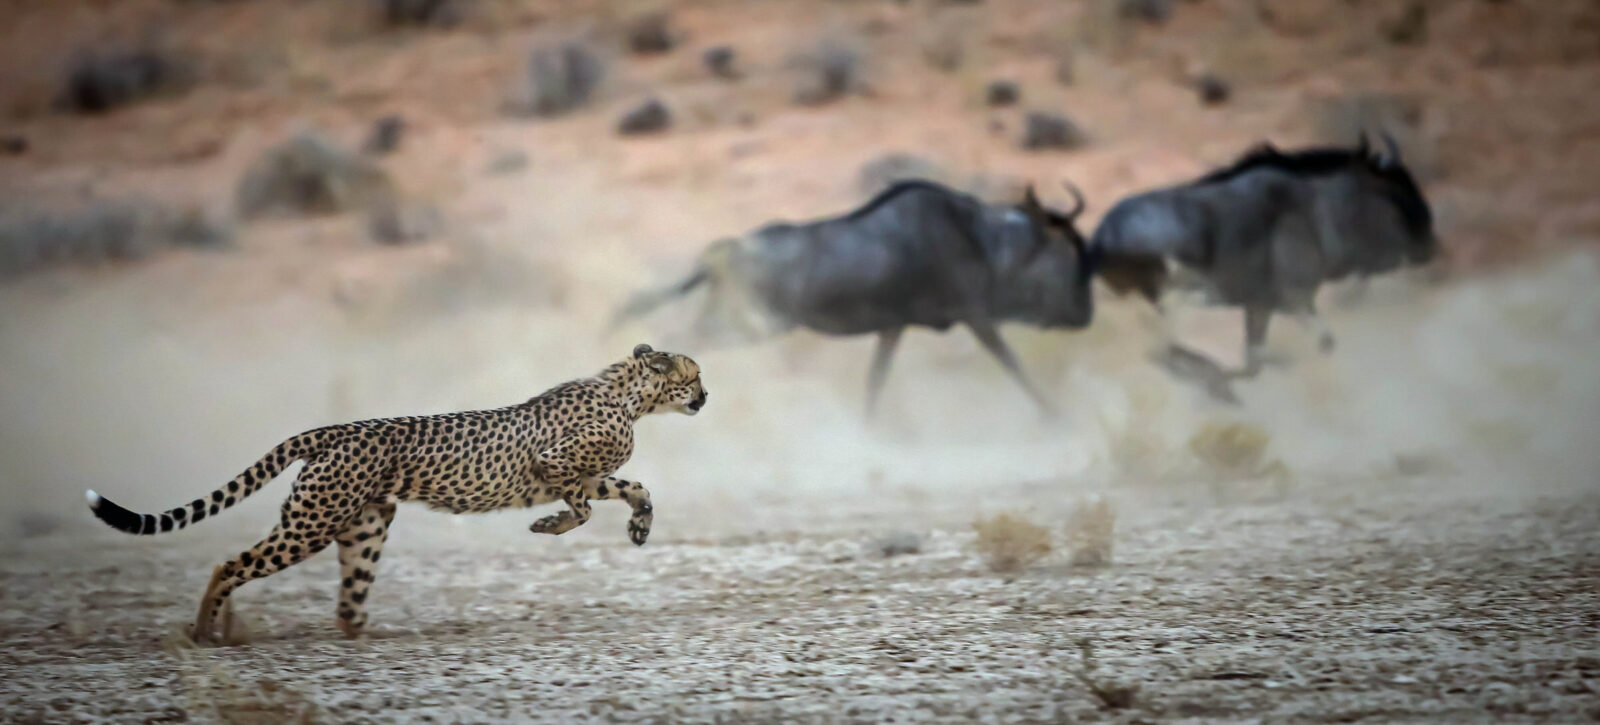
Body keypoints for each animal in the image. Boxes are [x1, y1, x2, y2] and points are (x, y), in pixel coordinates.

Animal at [86, 344, 707, 643]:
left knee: (347, 601)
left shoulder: (586, 470)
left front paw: (639, 525)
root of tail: (336, 429)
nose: (706, 397)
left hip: (365, 526)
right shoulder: (552, 463)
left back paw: (366, 633)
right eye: (695, 375)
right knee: (230, 564)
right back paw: (206, 632)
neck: (631, 396)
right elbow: (580, 506)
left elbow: (633, 486)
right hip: (311, 524)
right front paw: (549, 526)